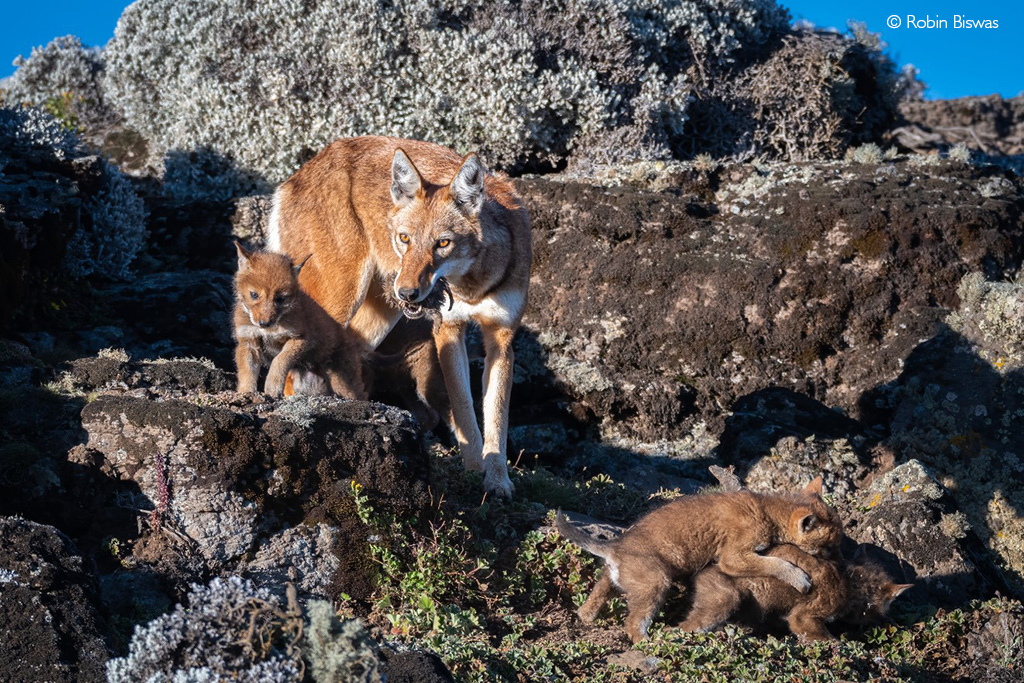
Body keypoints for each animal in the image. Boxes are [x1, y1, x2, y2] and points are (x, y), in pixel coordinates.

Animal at [268, 136, 532, 499]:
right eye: (404, 238)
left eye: (443, 243)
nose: (407, 292)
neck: (473, 286)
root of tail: (297, 175)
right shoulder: (448, 331)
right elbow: (464, 408)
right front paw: (473, 471)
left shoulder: (501, 340)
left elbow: (496, 417)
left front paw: (497, 482)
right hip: (338, 303)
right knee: (291, 372)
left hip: (375, 321)